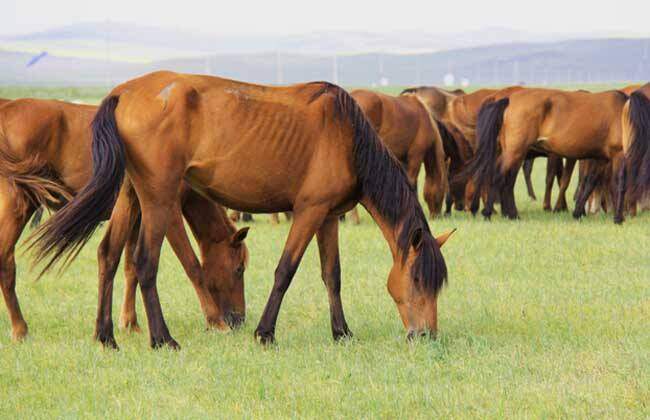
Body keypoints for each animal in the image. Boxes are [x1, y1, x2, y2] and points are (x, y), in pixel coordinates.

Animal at [0, 98, 248, 344]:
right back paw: (20, 329)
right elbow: (192, 265)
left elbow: (131, 267)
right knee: (6, 262)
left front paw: (129, 322)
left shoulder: (138, 216)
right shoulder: (168, 212)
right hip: (18, 205)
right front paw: (215, 321)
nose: (240, 320)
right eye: (239, 269)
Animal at [30, 72, 454, 348]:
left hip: (130, 197)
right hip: (158, 199)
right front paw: (264, 333)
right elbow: (285, 271)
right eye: (419, 279)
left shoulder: (328, 217)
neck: (348, 135)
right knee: (145, 262)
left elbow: (331, 275)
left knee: (109, 255)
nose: (426, 336)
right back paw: (162, 338)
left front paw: (342, 333)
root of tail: (123, 92)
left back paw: (105, 336)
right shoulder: (309, 211)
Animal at [464, 88, 624, 220]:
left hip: (512, 153)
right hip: (514, 152)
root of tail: (505, 100)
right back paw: (490, 213)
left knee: (502, 179)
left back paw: (507, 213)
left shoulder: (594, 158)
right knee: (498, 176)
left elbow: (586, 181)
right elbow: (562, 180)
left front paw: (574, 210)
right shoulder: (568, 156)